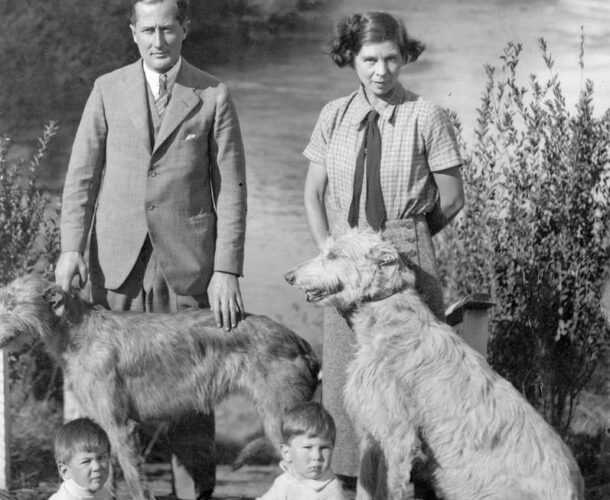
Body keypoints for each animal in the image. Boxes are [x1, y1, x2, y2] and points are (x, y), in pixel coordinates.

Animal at [0, 274, 320, 500]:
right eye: (5, 300)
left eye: (13, 305)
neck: (79, 331)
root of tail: (300, 342)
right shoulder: (102, 422)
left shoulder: (120, 425)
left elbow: (134, 478)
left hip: (282, 418)